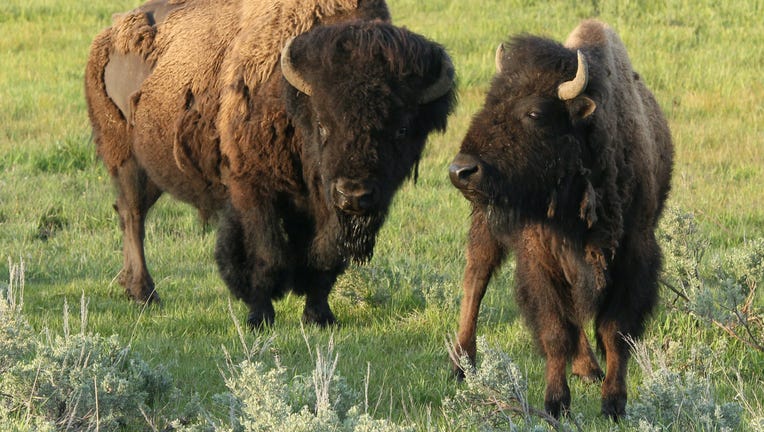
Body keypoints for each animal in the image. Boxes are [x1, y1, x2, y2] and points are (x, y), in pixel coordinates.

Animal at [448, 19, 676, 418]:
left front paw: (613, 403)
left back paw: (588, 368)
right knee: (475, 280)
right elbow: (555, 332)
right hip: (485, 227)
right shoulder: (540, 259)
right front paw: (556, 404)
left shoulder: (632, 256)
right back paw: (462, 364)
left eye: (534, 113)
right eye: (490, 101)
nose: (461, 170)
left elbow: (614, 331)